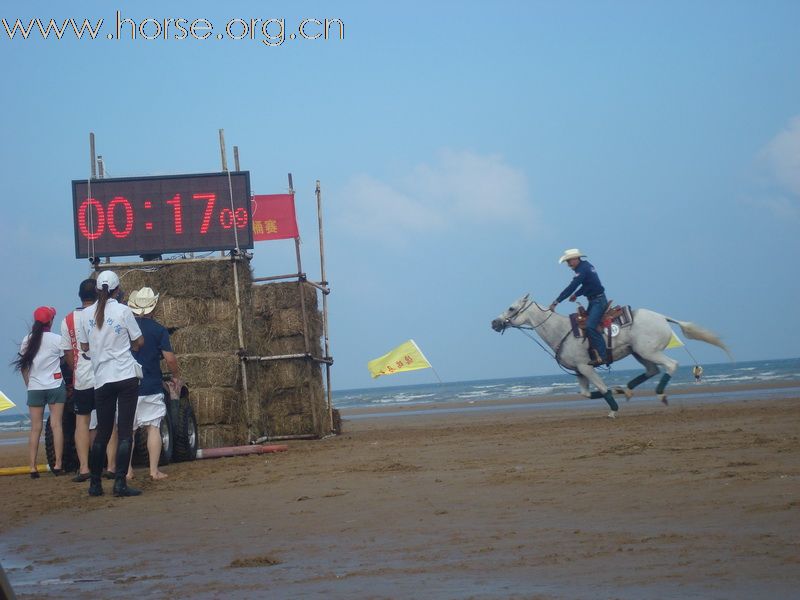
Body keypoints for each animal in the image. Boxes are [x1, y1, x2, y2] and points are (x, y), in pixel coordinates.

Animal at [488, 296, 732, 418]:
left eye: (511, 308)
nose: (494, 323)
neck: (560, 329)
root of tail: (662, 317)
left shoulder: (586, 367)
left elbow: (602, 389)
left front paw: (613, 410)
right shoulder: (579, 371)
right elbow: (587, 394)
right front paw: (618, 391)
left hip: (649, 351)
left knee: (671, 365)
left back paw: (661, 395)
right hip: (639, 353)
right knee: (652, 370)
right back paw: (628, 390)